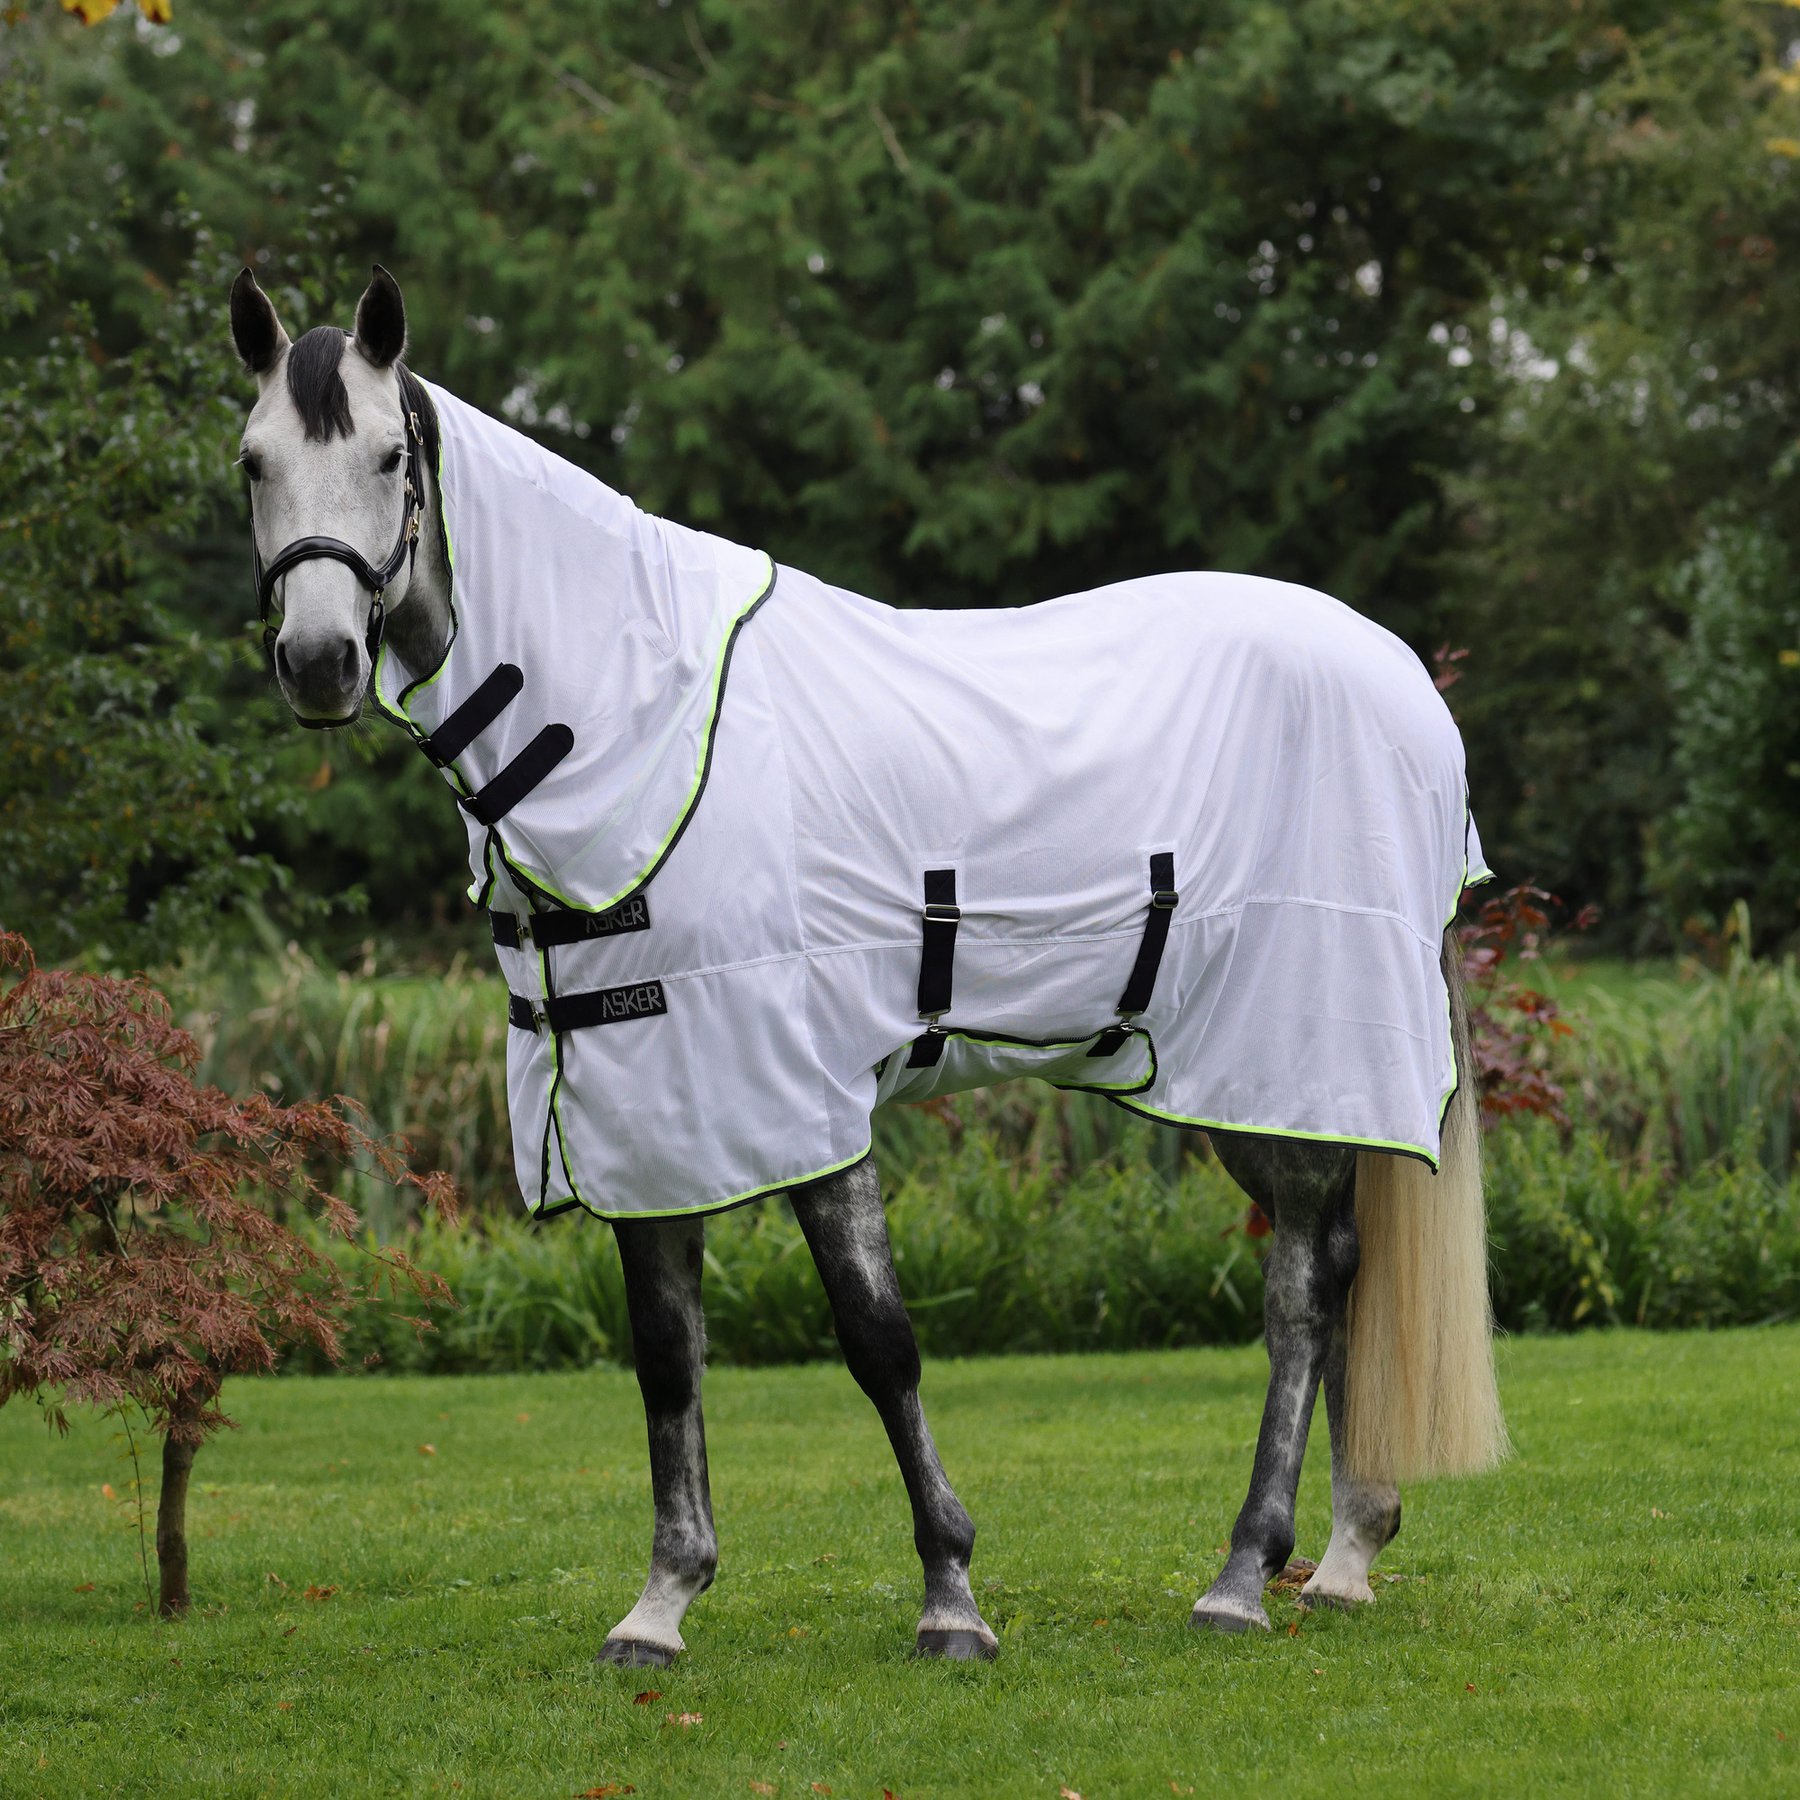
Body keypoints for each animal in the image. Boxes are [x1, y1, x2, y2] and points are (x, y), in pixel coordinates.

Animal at [229, 265, 1505, 1667]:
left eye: (389, 456)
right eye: (253, 463)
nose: (319, 663)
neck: (632, 718)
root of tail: (1403, 682)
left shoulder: (801, 1091)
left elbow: (878, 1339)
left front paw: (952, 1598)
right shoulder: (650, 1100)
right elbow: (665, 1354)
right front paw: (662, 1601)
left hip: (1298, 1049)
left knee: (1299, 1294)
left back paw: (1243, 1573)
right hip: (1231, 1077)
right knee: (1337, 1269)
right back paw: (1342, 1555)